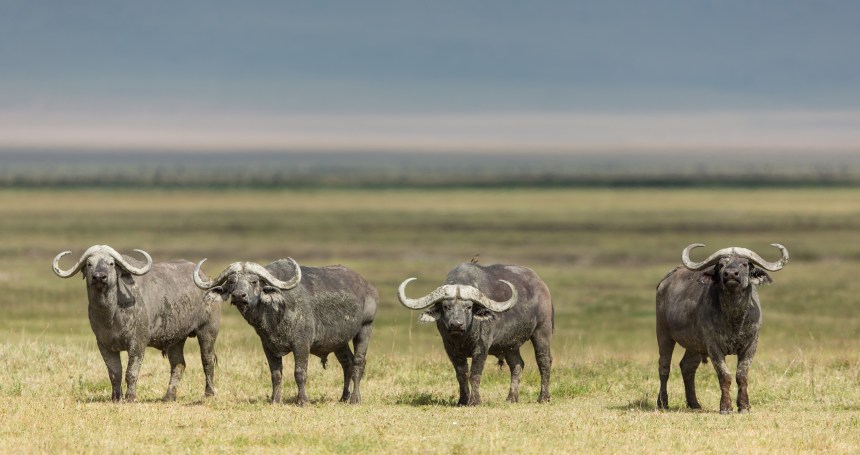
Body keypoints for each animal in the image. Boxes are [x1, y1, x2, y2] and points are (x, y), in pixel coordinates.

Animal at [52, 245, 220, 402]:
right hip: (176, 339)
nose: (99, 277)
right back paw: (169, 396)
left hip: (207, 330)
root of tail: (207, 279)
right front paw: (116, 398)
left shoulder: (138, 342)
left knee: (207, 360)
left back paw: (209, 394)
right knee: (178, 364)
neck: (110, 315)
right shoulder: (104, 344)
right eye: (89, 263)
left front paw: (130, 397)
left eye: (111, 263)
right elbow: (114, 373)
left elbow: (131, 371)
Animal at [193, 258, 377, 406]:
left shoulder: (302, 344)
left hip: (365, 328)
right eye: (231, 281)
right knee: (347, 363)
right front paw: (275, 400)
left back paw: (355, 399)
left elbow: (300, 373)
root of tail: (368, 287)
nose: (239, 295)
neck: (275, 311)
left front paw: (302, 401)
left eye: (254, 281)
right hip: (339, 341)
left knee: (358, 363)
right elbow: (276, 375)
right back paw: (344, 397)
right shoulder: (268, 346)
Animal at [397, 262, 553, 405]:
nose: (456, 324)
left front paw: (475, 401)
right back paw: (511, 398)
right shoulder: (450, 349)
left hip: (542, 331)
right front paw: (462, 400)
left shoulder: (481, 348)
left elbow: (475, 374)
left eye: (468, 307)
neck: (463, 337)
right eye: (446, 306)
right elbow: (461, 374)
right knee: (517, 365)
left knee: (544, 361)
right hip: (510, 344)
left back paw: (543, 397)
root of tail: (542, 285)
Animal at [656, 243, 789, 414]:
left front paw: (744, 406)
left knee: (687, 366)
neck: (734, 318)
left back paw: (694, 403)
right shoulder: (713, 346)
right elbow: (724, 375)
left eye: (745, 264)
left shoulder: (751, 345)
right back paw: (662, 403)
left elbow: (742, 375)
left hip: (695, 344)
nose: (731, 274)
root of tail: (664, 282)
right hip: (663, 333)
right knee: (664, 366)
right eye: (721, 264)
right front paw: (726, 407)